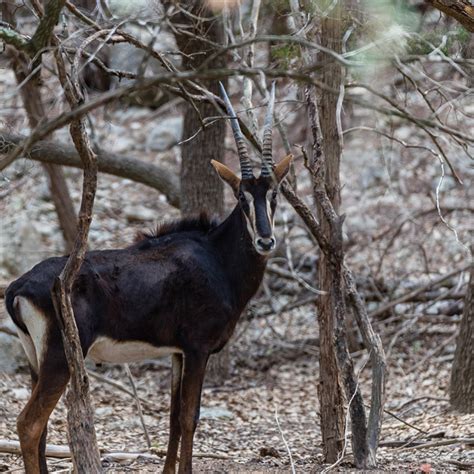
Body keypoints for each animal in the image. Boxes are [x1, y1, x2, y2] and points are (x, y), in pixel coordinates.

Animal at [4, 83, 292, 472]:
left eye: (274, 194)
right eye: (241, 196)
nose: (265, 240)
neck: (217, 256)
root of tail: (18, 287)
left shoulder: (177, 353)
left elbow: (172, 419)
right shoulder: (198, 349)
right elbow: (189, 417)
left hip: (35, 358)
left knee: (42, 429)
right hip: (58, 359)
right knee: (30, 424)